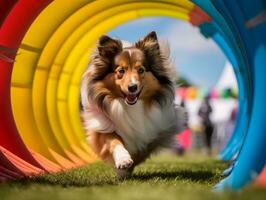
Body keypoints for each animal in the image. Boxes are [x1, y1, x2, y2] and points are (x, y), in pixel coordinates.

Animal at [80, 31, 186, 180]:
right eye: (121, 71)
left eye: (141, 70)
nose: (132, 87)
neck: (130, 106)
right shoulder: (102, 125)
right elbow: (114, 140)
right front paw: (123, 161)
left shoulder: (157, 130)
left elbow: (141, 151)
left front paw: (125, 169)